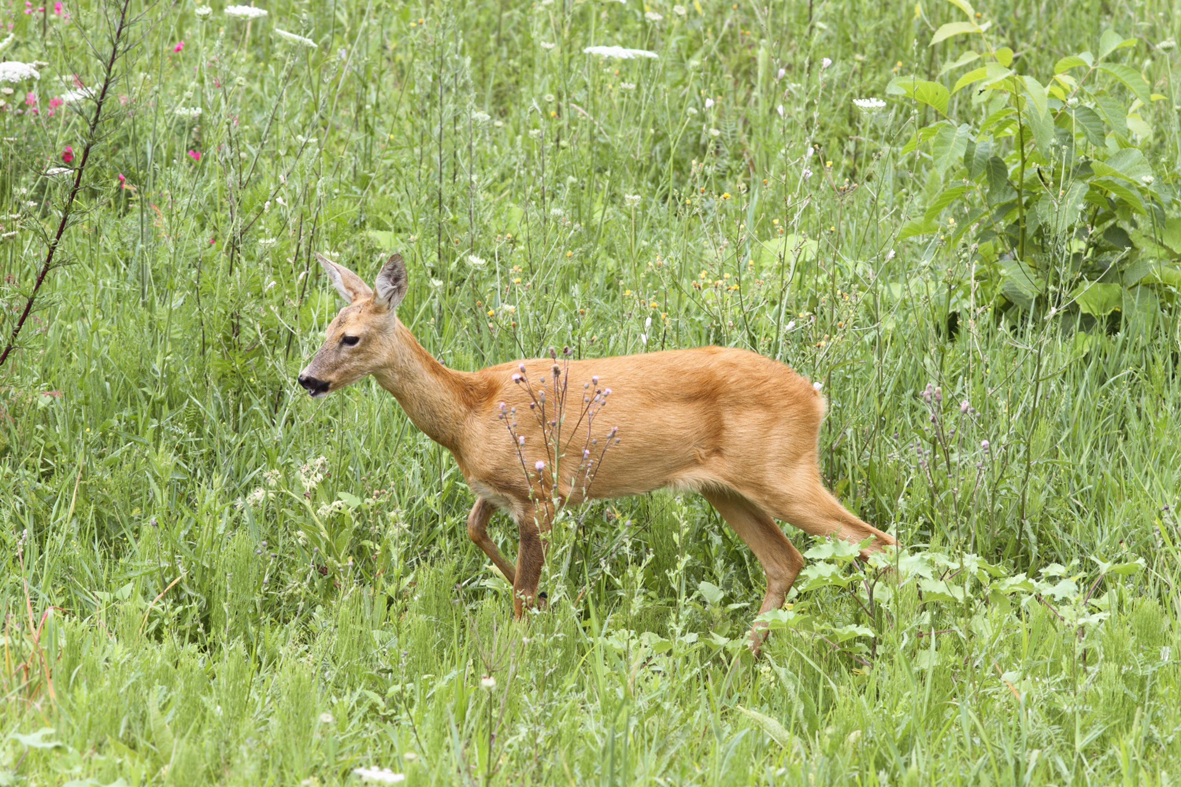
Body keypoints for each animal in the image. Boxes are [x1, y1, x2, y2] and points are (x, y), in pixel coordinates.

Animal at [298, 252, 896, 653]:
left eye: (351, 337)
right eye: (326, 328)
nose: (307, 379)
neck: (468, 413)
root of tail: (816, 397)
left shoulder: (541, 492)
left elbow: (520, 590)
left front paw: (519, 650)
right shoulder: (499, 490)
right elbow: (475, 532)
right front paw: (555, 605)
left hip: (784, 471)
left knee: (876, 540)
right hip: (727, 489)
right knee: (786, 561)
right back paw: (742, 663)